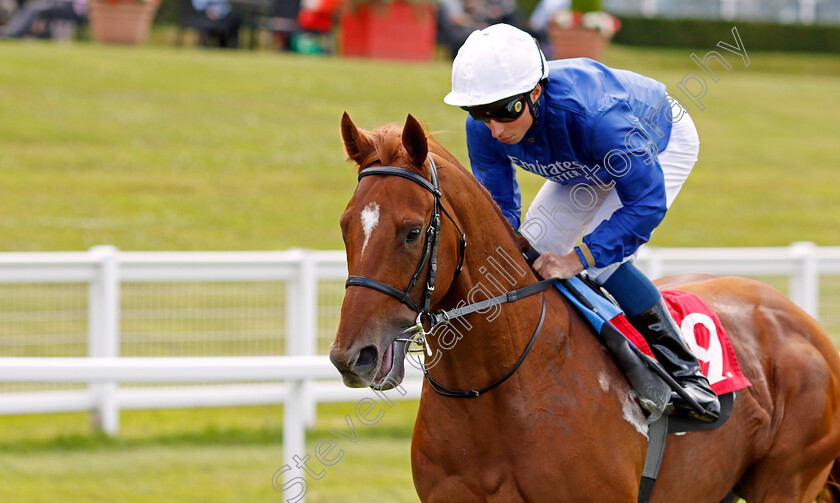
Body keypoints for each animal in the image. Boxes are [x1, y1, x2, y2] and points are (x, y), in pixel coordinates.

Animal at [330, 112, 840, 502]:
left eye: (412, 231)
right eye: (345, 226)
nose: (353, 356)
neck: (496, 390)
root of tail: (806, 325)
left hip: (786, 482)